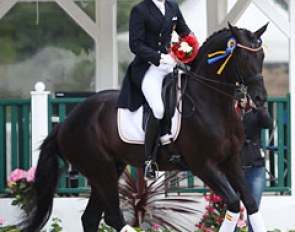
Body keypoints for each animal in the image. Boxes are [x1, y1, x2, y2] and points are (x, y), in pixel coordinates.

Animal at [20, 22, 270, 231]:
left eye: (262, 56)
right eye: (243, 57)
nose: (260, 98)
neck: (209, 102)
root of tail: (66, 122)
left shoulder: (231, 161)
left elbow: (249, 203)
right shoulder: (204, 166)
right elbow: (234, 203)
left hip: (107, 170)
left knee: (91, 218)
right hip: (101, 171)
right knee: (113, 217)